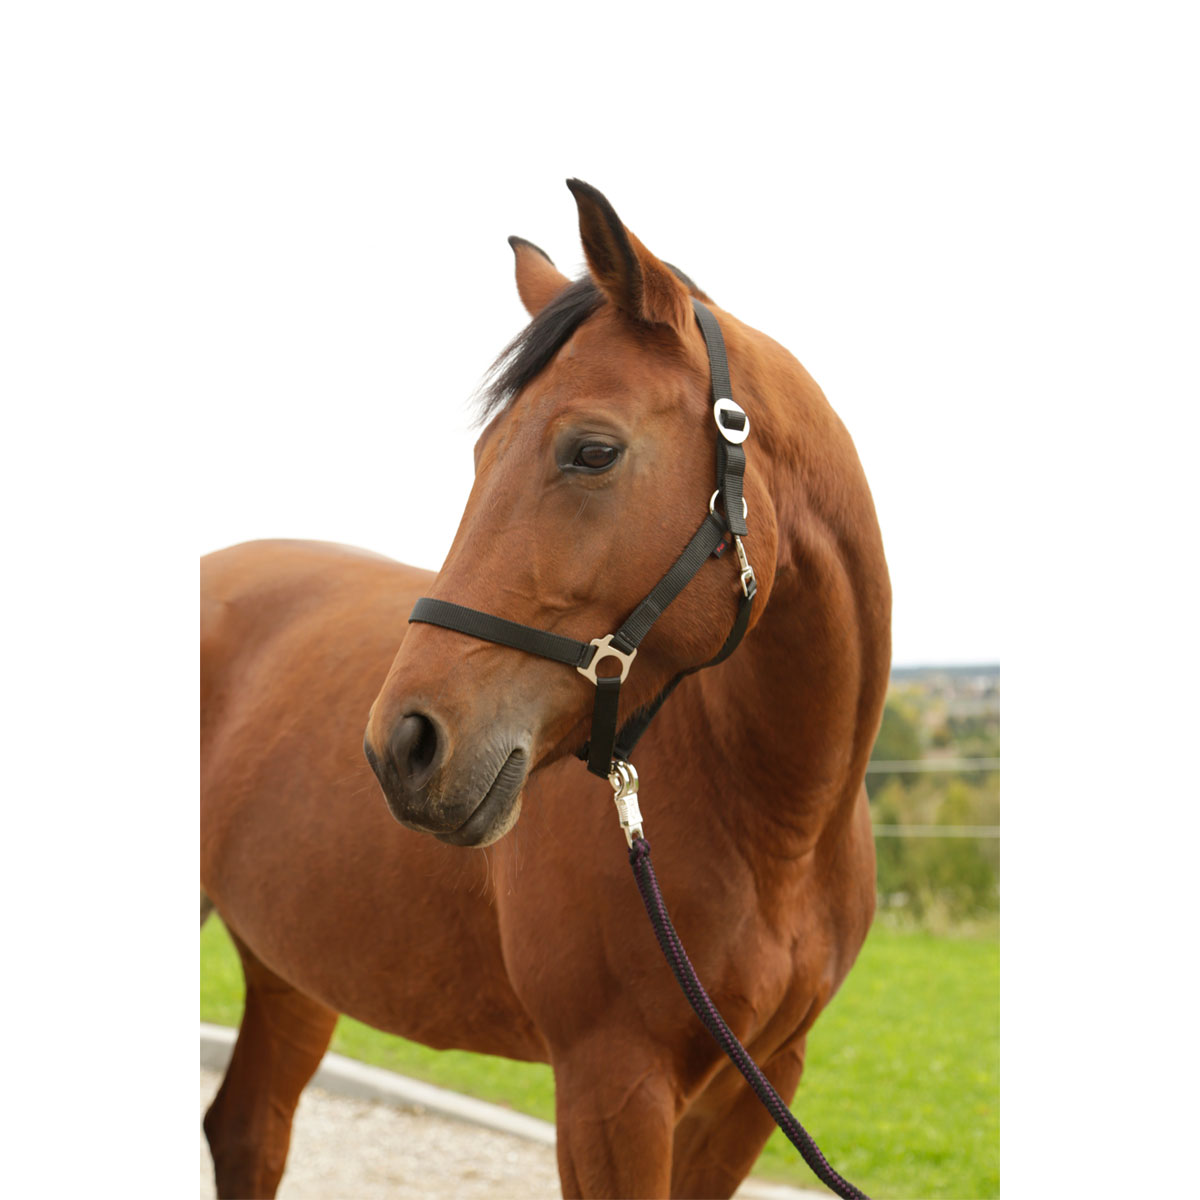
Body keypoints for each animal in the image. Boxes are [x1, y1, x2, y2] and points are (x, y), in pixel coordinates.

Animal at [200, 178, 891, 1199]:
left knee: (249, 1129)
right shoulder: (612, 1087)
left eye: (592, 452)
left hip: (291, 967)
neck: (779, 827)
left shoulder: (751, 1093)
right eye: (481, 454)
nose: (404, 746)